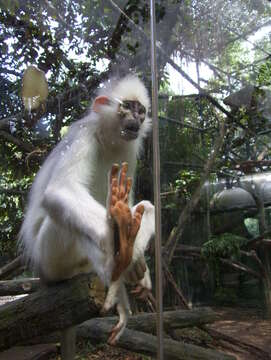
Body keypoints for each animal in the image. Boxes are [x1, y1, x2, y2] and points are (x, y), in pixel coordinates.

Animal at [18, 74, 155, 344]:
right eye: (127, 107)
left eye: (141, 111)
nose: (136, 120)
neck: (108, 138)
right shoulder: (83, 135)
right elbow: (60, 189)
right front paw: (122, 244)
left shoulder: (129, 149)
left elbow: (132, 204)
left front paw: (138, 262)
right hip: (50, 259)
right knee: (66, 222)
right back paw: (117, 263)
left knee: (147, 207)